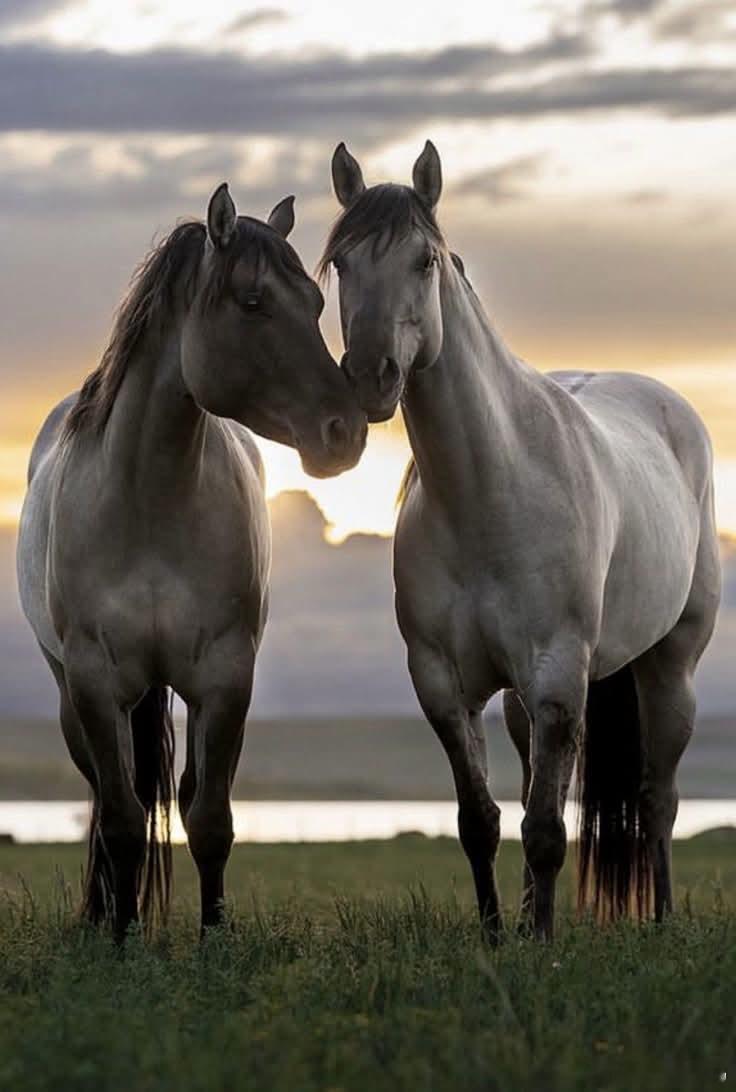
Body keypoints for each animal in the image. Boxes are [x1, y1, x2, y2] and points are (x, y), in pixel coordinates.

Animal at [17, 184, 367, 941]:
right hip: (76, 697)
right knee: (103, 798)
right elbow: (121, 820)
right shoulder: (94, 680)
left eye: (316, 302)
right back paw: (101, 914)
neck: (150, 504)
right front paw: (119, 940)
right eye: (253, 302)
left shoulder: (224, 677)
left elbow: (209, 819)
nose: (346, 432)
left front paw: (213, 938)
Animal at [319, 141, 721, 941]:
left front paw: (541, 944)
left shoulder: (560, 675)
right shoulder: (445, 685)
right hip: (519, 701)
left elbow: (544, 829)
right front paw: (499, 935)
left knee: (657, 800)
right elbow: (482, 820)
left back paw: (660, 918)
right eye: (341, 263)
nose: (372, 377)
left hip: (670, 667)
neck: (489, 493)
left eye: (424, 261)